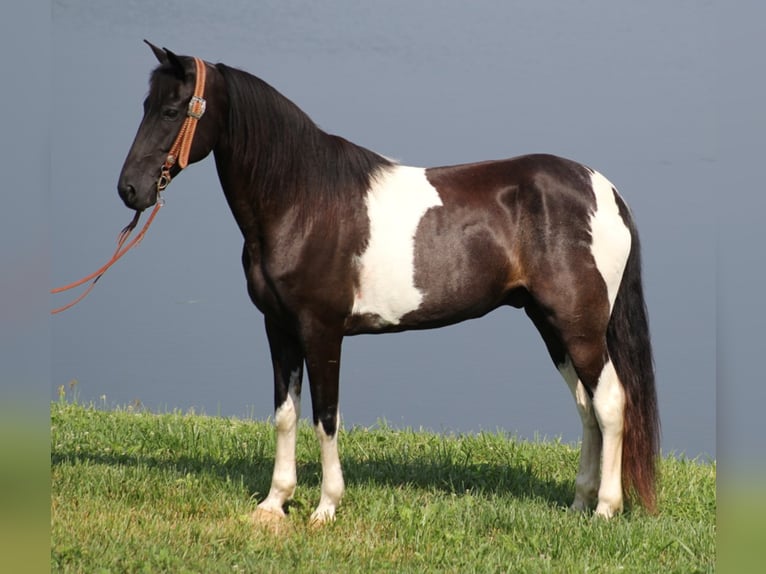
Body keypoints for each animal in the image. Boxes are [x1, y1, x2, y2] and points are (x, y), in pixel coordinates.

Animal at [118, 41, 660, 528]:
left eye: (171, 110)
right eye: (145, 106)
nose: (129, 189)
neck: (303, 200)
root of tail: (606, 191)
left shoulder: (322, 331)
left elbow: (326, 416)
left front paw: (325, 508)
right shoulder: (279, 329)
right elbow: (285, 414)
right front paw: (273, 505)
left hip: (579, 327)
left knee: (610, 403)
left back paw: (606, 509)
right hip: (552, 325)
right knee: (586, 407)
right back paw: (579, 504)